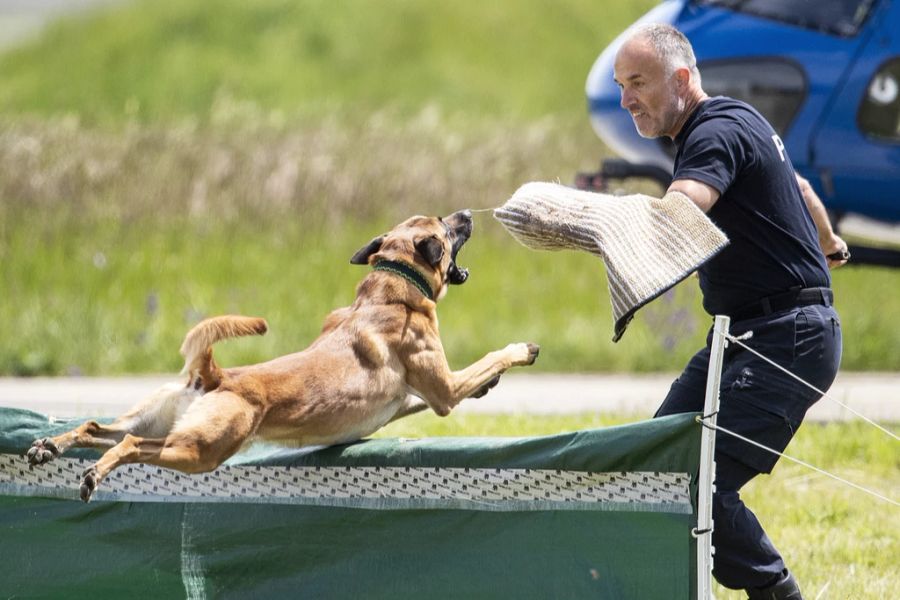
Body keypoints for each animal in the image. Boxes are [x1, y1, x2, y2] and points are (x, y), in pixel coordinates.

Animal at [26, 211, 536, 502]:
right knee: (131, 446)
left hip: (159, 420)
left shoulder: (417, 397)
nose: (467, 211)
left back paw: (49, 446)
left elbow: (435, 394)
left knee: (97, 428)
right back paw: (92, 476)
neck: (392, 285)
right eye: (447, 227)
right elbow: (488, 361)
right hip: (198, 449)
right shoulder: (443, 390)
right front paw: (521, 349)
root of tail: (214, 374)